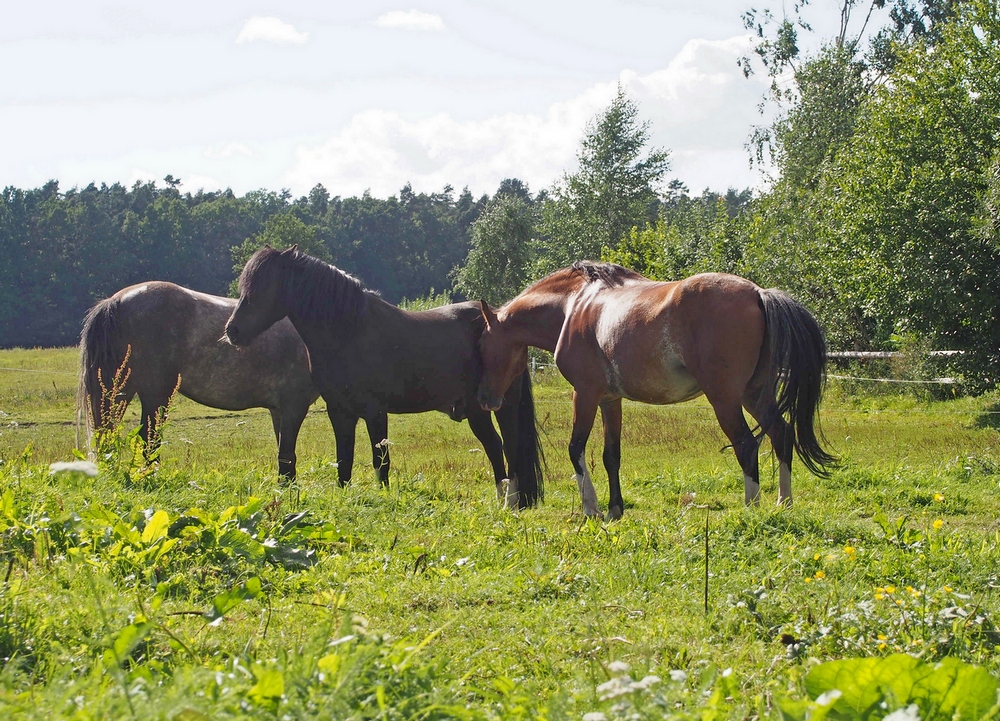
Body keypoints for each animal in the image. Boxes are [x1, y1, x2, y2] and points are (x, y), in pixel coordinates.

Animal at [79, 281, 321, 479]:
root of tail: (116, 300)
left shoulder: (278, 410)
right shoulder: (294, 406)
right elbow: (287, 456)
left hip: (121, 392)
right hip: (155, 395)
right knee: (148, 440)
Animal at [223, 246, 543, 508]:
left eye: (264, 287)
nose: (232, 331)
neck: (349, 332)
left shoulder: (375, 412)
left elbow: (381, 463)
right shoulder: (340, 412)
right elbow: (344, 461)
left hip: (499, 405)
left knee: (509, 448)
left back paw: (511, 504)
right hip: (478, 410)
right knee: (495, 447)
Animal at [476, 261, 835, 520]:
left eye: (482, 344)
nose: (487, 401)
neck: (575, 306)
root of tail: (758, 293)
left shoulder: (586, 394)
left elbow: (575, 448)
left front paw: (591, 508)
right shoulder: (610, 401)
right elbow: (611, 455)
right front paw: (615, 509)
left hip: (725, 399)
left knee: (746, 444)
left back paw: (752, 509)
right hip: (754, 394)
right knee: (781, 434)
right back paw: (783, 504)